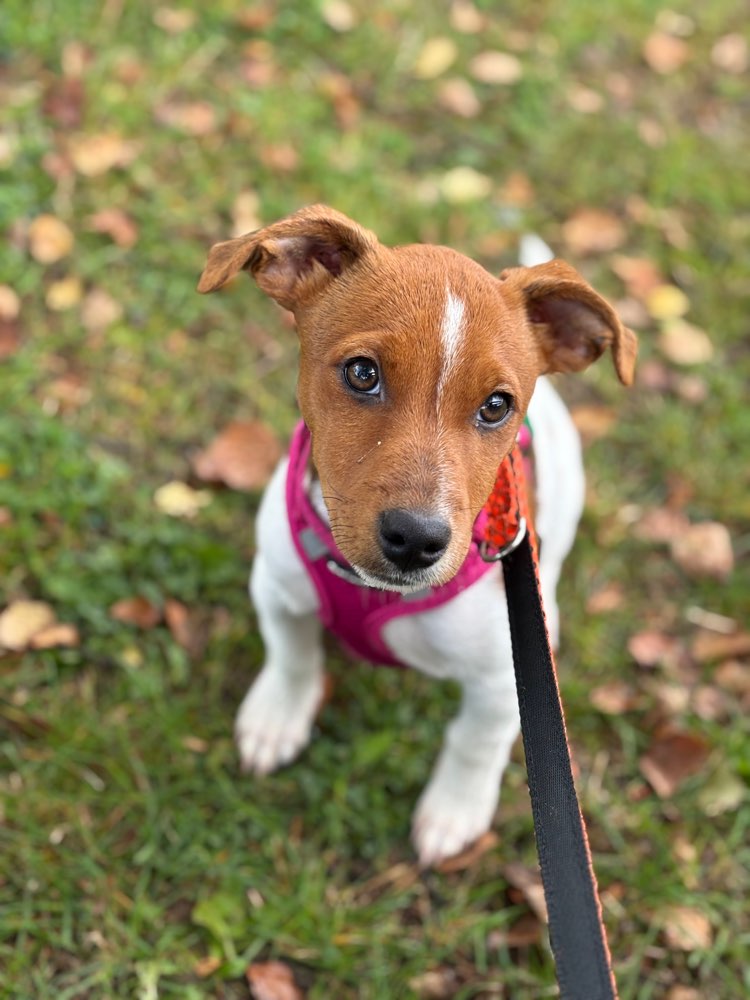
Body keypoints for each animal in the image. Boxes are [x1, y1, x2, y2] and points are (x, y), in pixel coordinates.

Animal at [198, 205, 636, 868]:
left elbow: (474, 743)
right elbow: (292, 656)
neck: (372, 590)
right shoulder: (275, 585)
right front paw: (277, 719)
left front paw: (454, 810)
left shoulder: (505, 679)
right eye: (362, 373)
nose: (415, 538)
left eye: (496, 405)